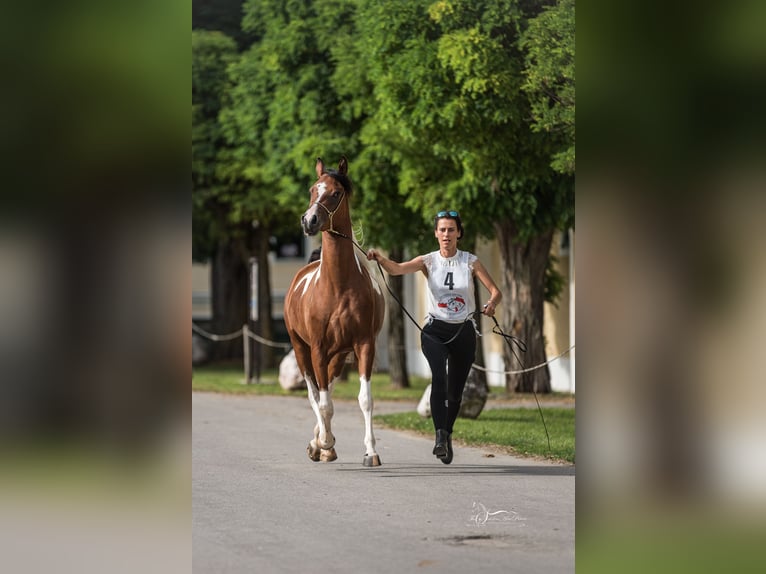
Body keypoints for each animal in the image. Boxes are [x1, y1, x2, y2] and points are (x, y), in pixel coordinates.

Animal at [283, 156, 386, 466]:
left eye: (336, 192)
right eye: (312, 189)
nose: (309, 221)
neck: (337, 286)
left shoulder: (364, 345)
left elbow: (364, 399)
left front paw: (371, 452)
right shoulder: (317, 347)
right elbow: (323, 402)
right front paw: (324, 442)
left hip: (338, 355)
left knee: (325, 386)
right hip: (301, 348)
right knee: (314, 394)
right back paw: (321, 443)